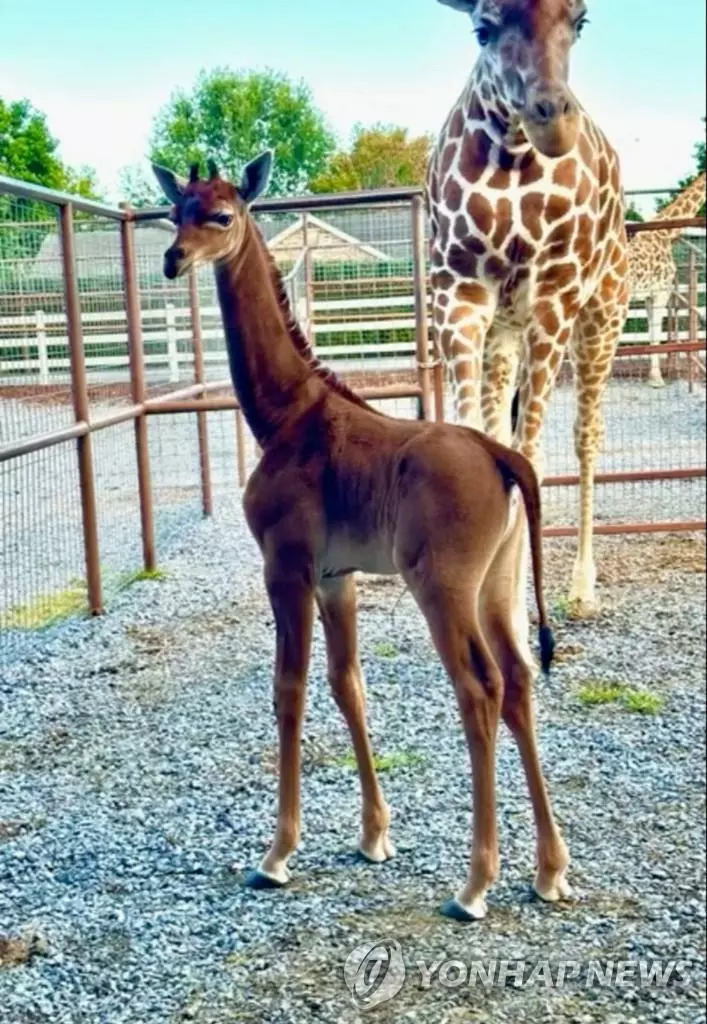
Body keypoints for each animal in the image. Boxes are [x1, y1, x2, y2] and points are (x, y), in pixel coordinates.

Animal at [151, 153, 569, 929]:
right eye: (176, 211)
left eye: (221, 214)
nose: (173, 259)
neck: (284, 415)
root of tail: (502, 456)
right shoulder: (333, 575)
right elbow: (348, 684)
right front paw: (374, 836)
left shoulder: (285, 566)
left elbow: (288, 688)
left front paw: (276, 854)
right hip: (498, 585)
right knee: (521, 679)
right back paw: (550, 871)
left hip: (443, 587)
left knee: (480, 688)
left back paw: (474, 886)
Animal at [426, 0, 631, 622]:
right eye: (482, 28)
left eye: (580, 20)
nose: (552, 120)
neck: (512, 157)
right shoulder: (458, 293)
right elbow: (480, 442)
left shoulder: (554, 297)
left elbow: (530, 456)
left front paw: (515, 613)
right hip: (505, 331)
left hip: (602, 314)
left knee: (587, 434)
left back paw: (583, 588)